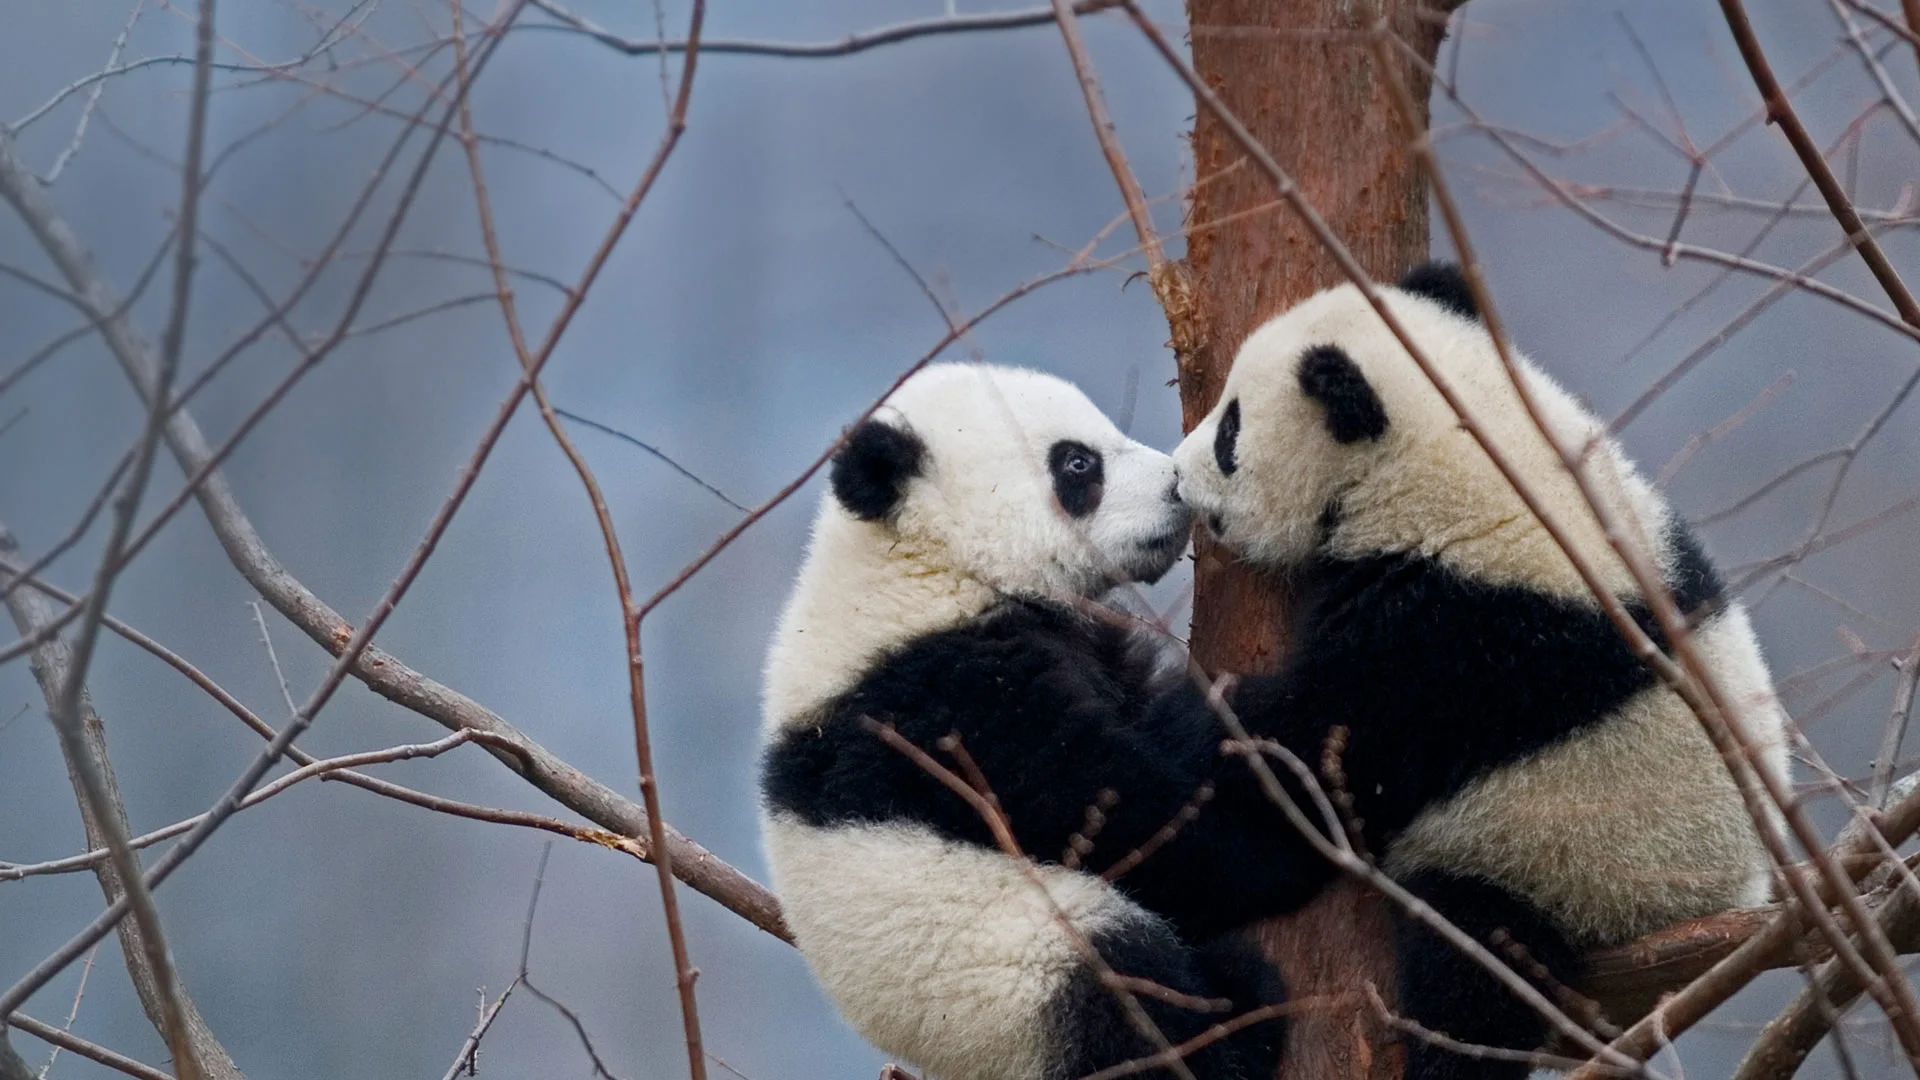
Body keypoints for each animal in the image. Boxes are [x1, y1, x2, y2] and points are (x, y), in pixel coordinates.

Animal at [759, 362, 1296, 1080]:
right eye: (1077, 463)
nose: (1177, 488)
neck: (924, 565)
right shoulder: (941, 701)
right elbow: (1106, 806)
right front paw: (1284, 842)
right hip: (1012, 976)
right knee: (1124, 991)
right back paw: (1239, 1015)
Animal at [1169, 263, 1792, 1080]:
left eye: (1232, 430)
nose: (1174, 476)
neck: (1459, 449)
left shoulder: (1466, 631)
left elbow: (1323, 736)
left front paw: (1191, 707)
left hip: (1564, 870)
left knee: (1476, 967)